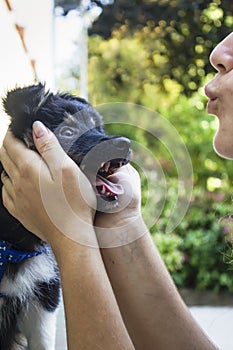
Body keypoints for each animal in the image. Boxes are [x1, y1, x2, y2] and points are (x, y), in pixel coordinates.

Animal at [0, 82, 131, 350]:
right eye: (68, 132)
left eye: (98, 127)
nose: (125, 143)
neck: (13, 246)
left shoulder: (43, 298)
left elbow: (42, 343)